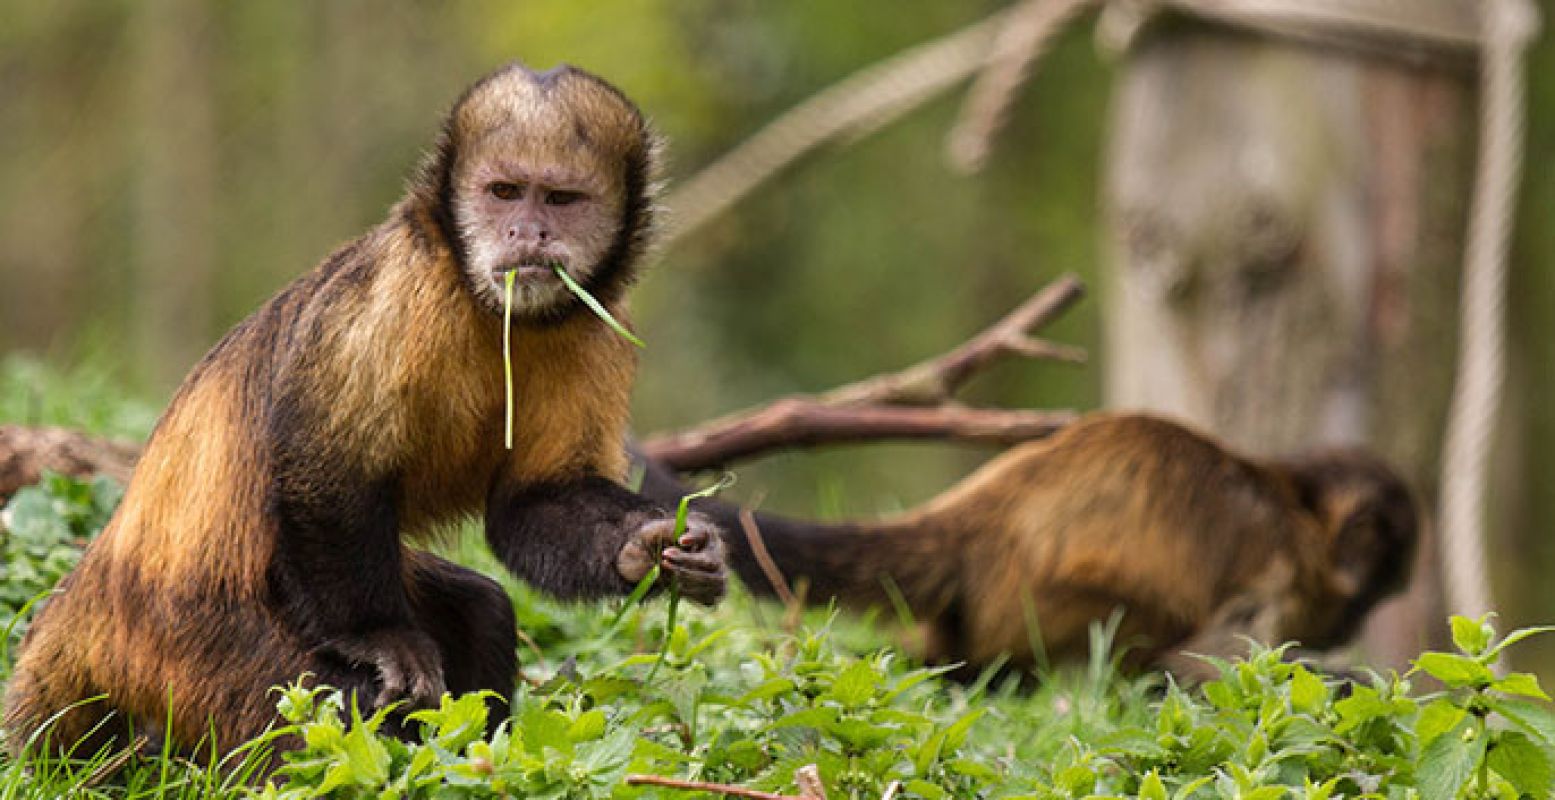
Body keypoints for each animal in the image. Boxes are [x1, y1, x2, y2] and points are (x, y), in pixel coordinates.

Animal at [634, 410, 1424, 678]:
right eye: (1370, 596)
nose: (1350, 626)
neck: (1290, 504)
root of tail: (988, 511)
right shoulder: (1276, 570)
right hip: (1052, 599)